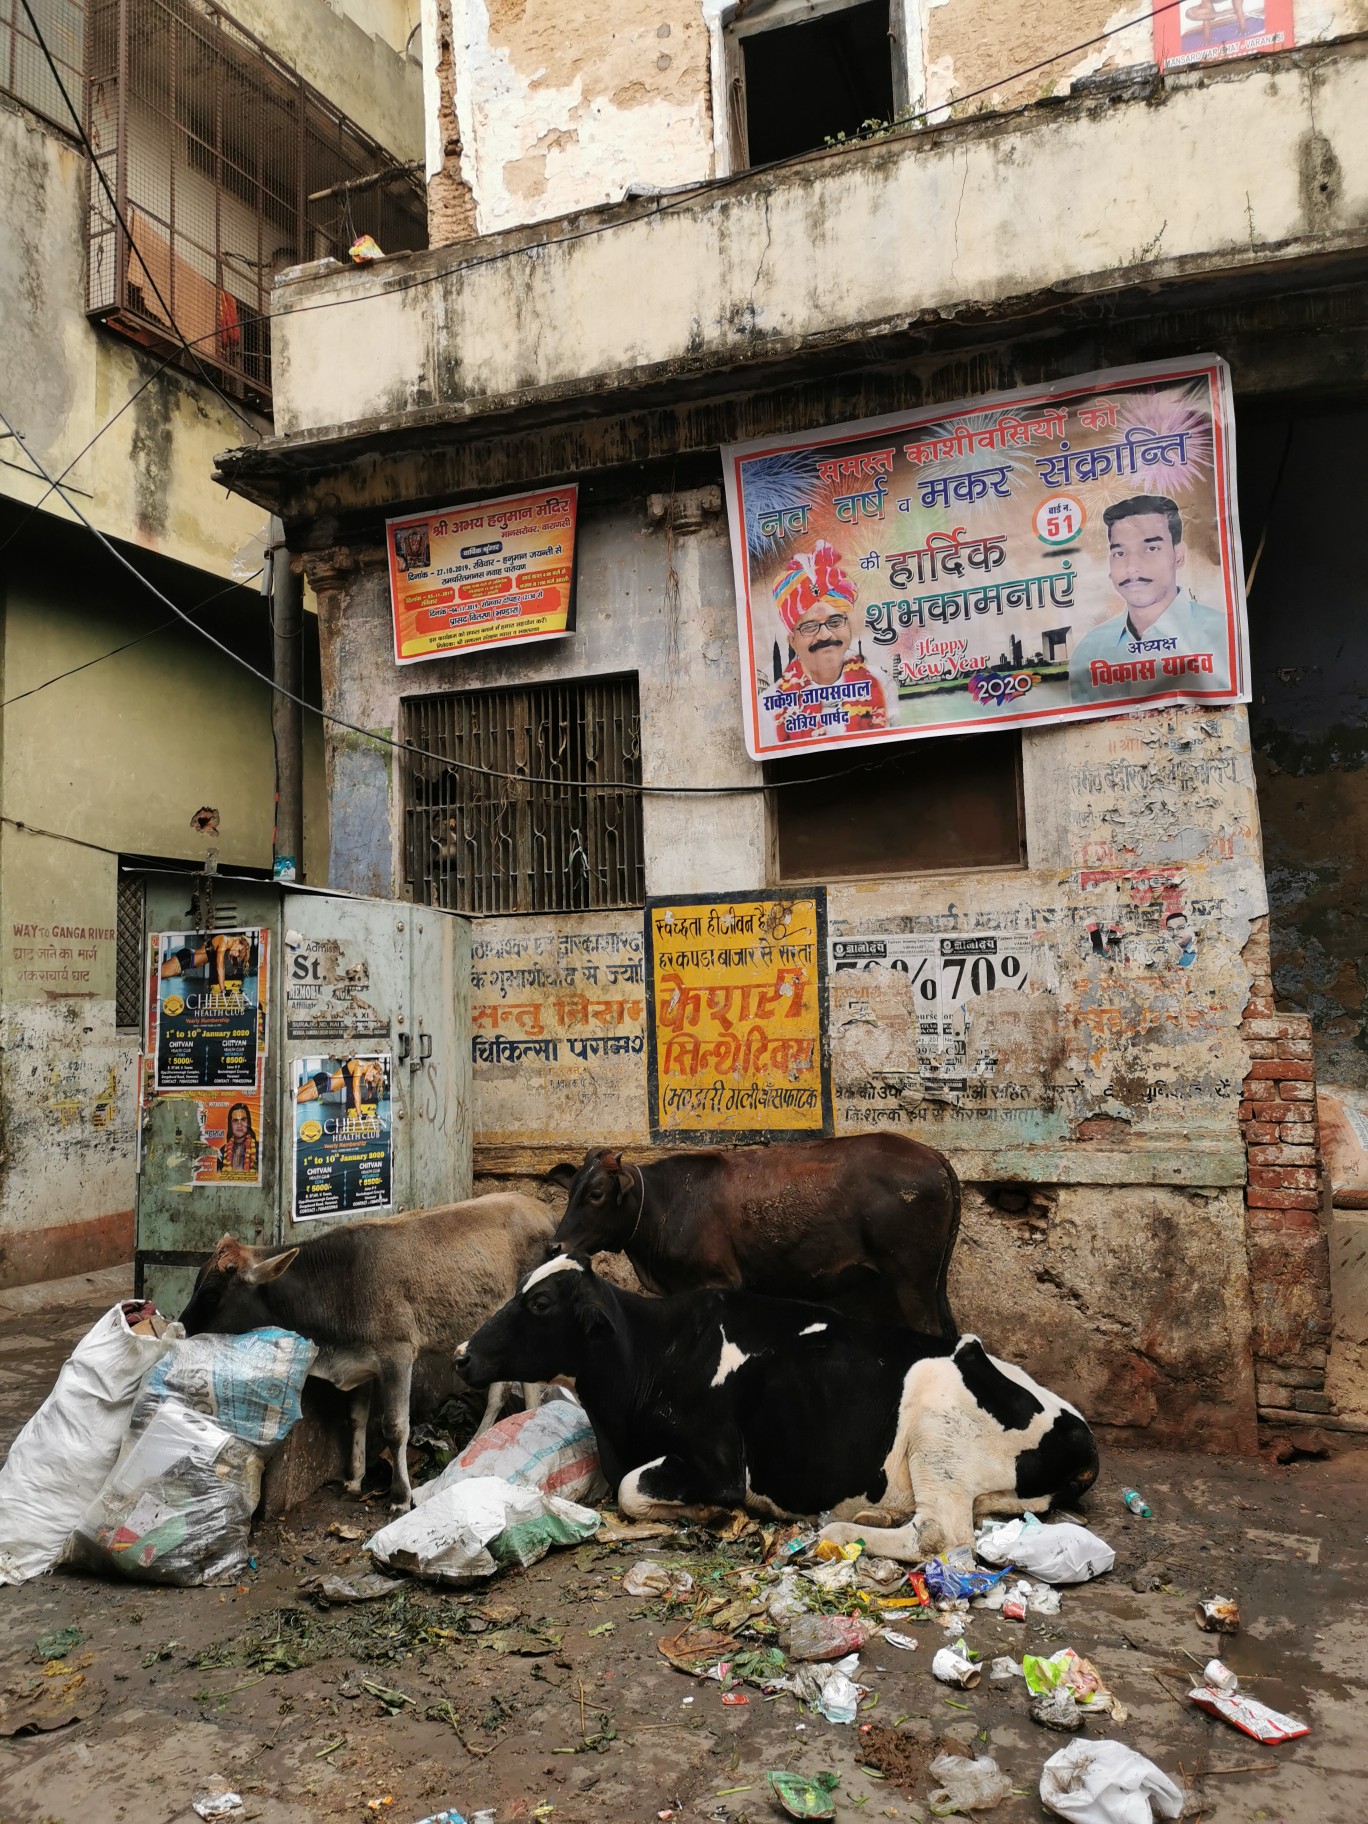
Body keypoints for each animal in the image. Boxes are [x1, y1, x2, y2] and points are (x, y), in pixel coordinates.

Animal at [180, 1189, 558, 1502]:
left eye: (211, 1294)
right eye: (196, 1282)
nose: (183, 1329)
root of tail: (542, 1209)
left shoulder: (398, 1354)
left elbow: (395, 1427)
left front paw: (400, 1495)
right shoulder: (362, 1362)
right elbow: (356, 1419)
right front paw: (354, 1478)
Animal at [461, 1262, 1101, 1561]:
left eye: (540, 1303)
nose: (463, 1353)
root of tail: (1080, 1430)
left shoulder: (717, 1462)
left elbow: (630, 1490)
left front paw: (711, 1514)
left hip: (936, 1432)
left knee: (940, 1533)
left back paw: (840, 1529)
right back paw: (873, 1516)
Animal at [547, 1130, 963, 1335]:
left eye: (596, 1194)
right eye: (571, 1190)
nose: (555, 1245)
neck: (664, 1205)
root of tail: (934, 1156)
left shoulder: (716, 1281)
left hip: (912, 1279)